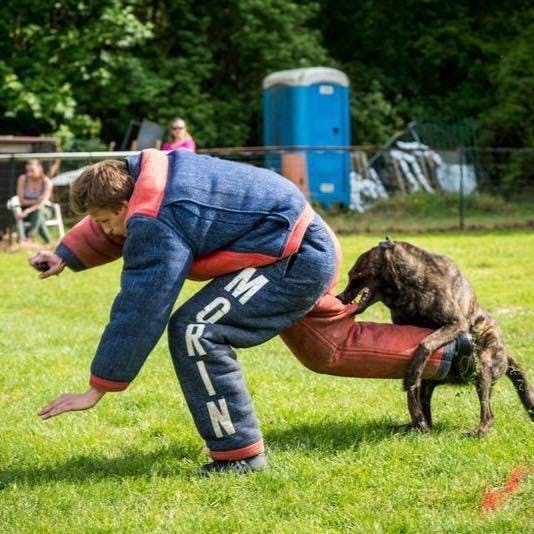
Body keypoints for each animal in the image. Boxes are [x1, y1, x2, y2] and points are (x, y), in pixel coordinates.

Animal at [340, 238, 534, 436]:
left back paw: (478, 430)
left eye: (355, 273)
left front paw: (411, 373)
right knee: (425, 409)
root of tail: (505, 355)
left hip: (482, 365)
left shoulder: (455, 323)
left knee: (488, 414)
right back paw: (416, 425)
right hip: (431, 382)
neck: (405, 286)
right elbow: (413, 386)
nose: (340, 297)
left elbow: (425, 345)